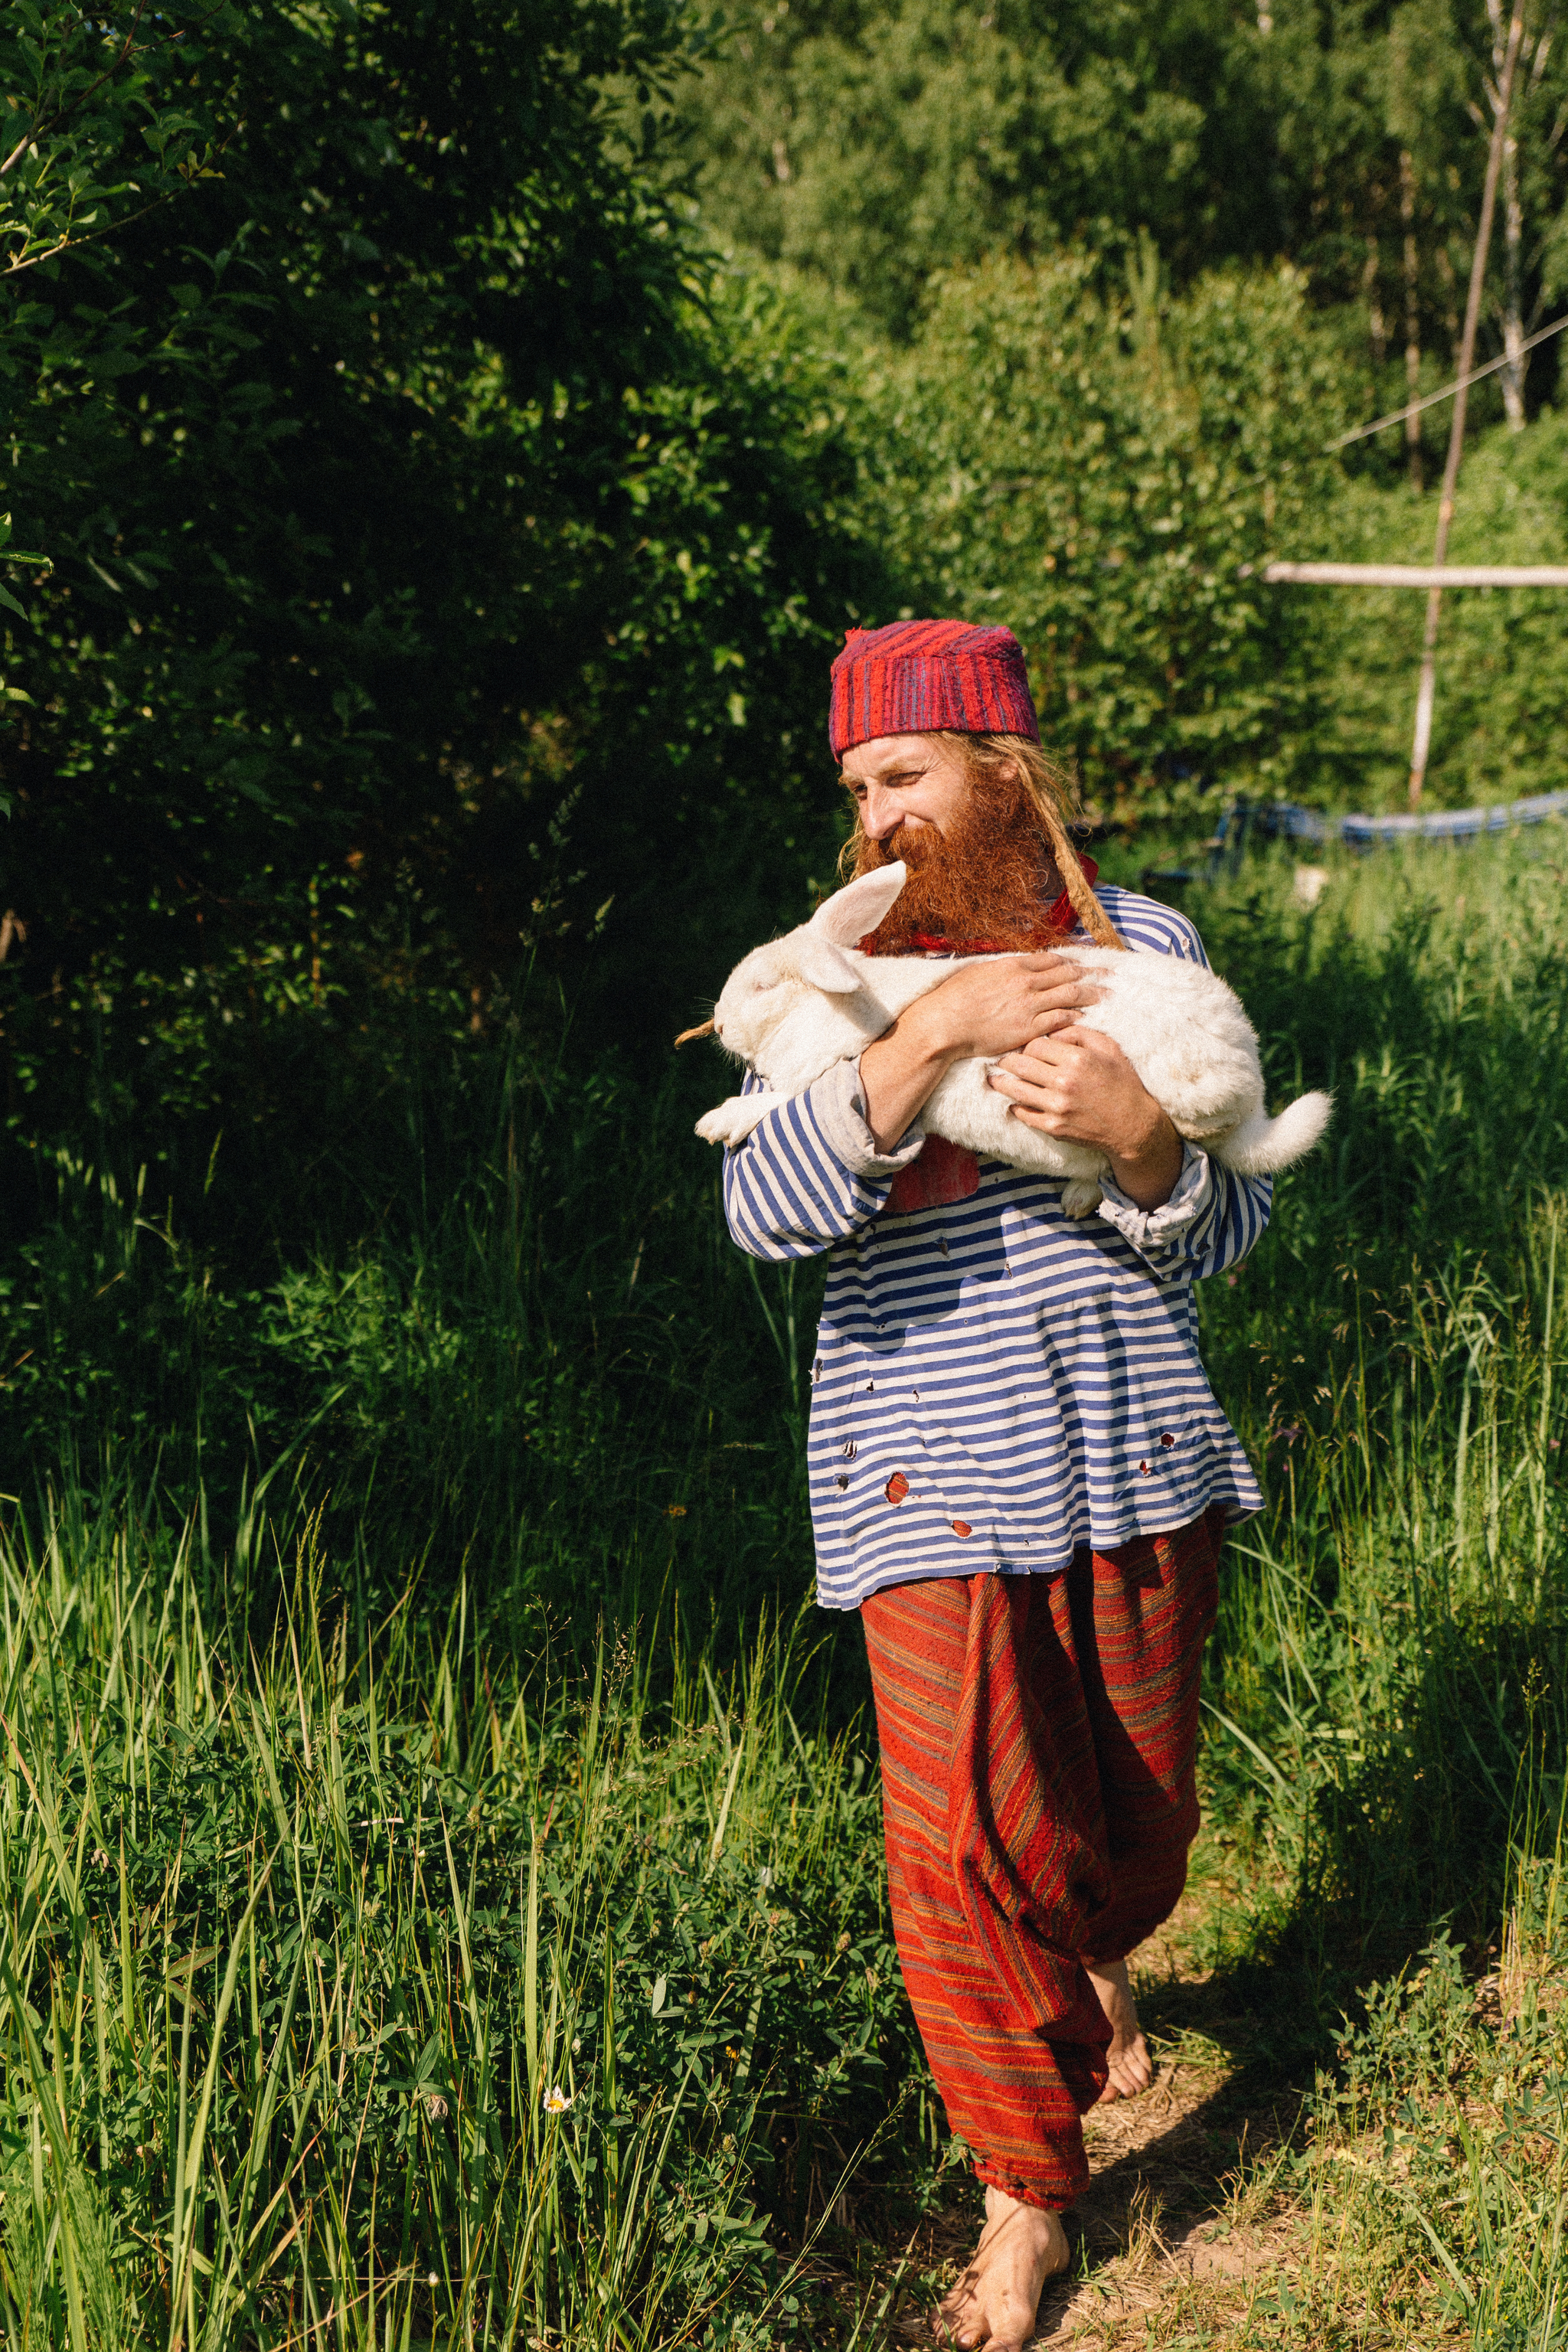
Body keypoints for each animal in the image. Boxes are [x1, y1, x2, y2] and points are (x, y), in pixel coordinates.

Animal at [691, 861, 1335, 1214]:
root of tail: (1250, 1088)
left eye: (762, 986)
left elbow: (780, 1102)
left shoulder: (836, 1072)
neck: (825, 1007)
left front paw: (717, 1122)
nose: (717, 1022)